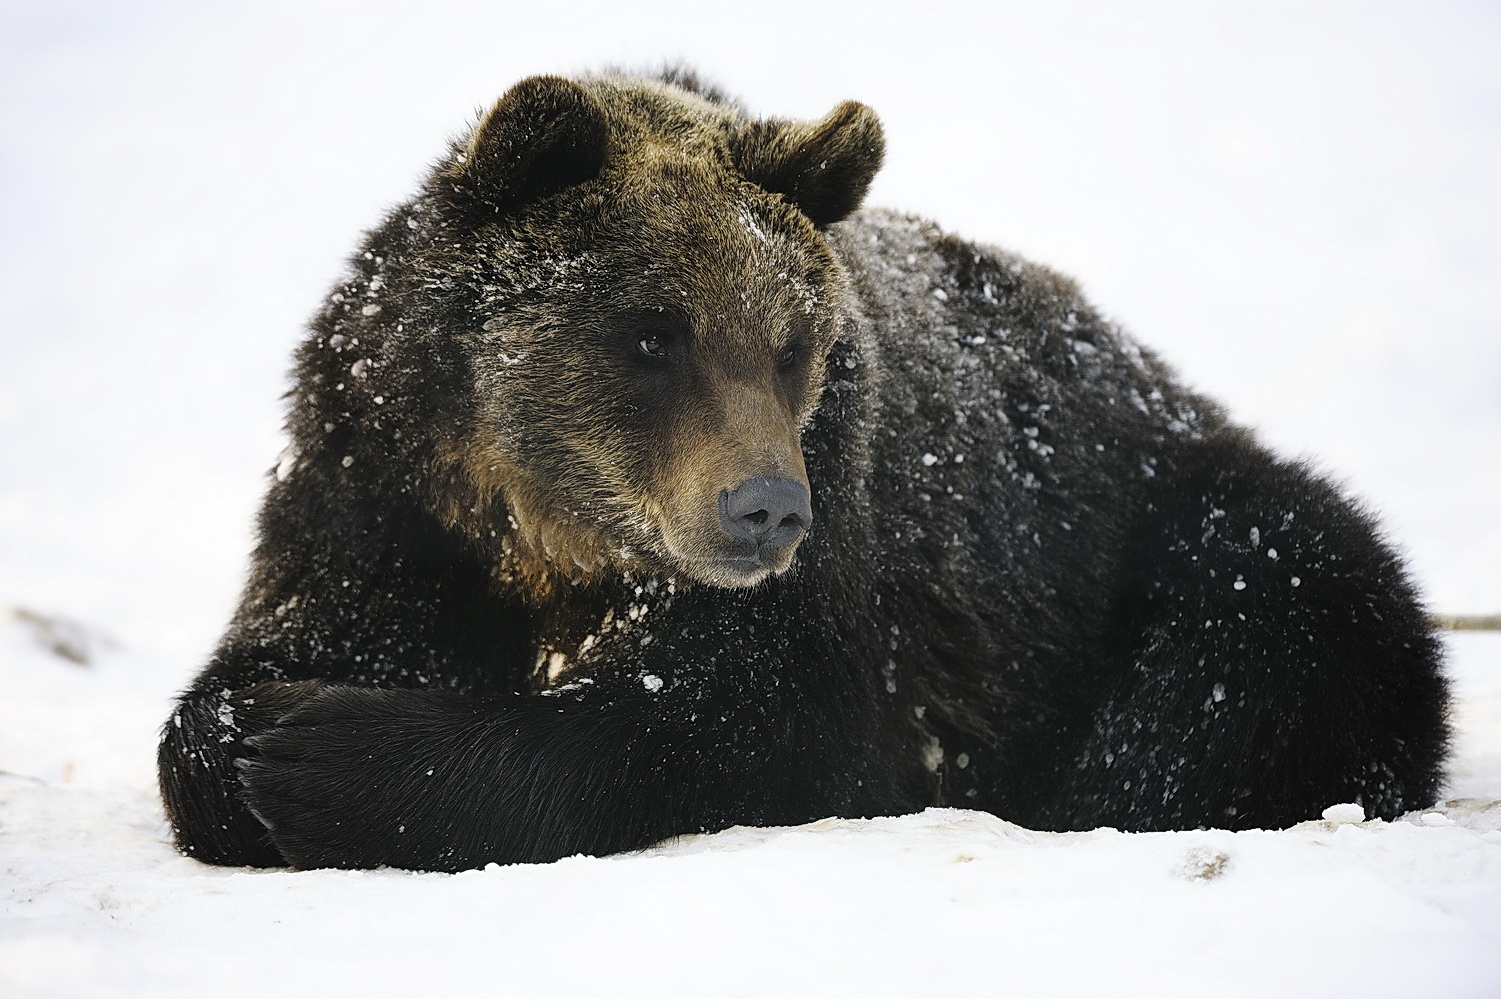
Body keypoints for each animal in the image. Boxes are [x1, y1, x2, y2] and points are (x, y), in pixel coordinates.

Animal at [158, 68, 1446, 870]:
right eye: (652, 333)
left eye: (790, 345)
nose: (765, 510)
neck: (549, 534)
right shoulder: (382, 493)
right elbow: (264, 659)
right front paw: (248, 734)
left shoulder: (846, 553)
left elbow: (741, 723)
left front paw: (315, 753)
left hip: (1180, 535)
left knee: (1250, 641)